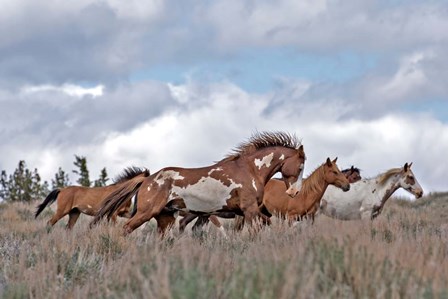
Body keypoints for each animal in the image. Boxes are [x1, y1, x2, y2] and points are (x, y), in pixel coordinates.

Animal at [93, 132, 306, 236]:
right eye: (301, 165)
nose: (295, 192)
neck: (250, 170)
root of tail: (148, 179)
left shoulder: (247, 212)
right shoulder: (250, 210)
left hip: (165, 217)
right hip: (147, 213)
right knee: (127, 228)